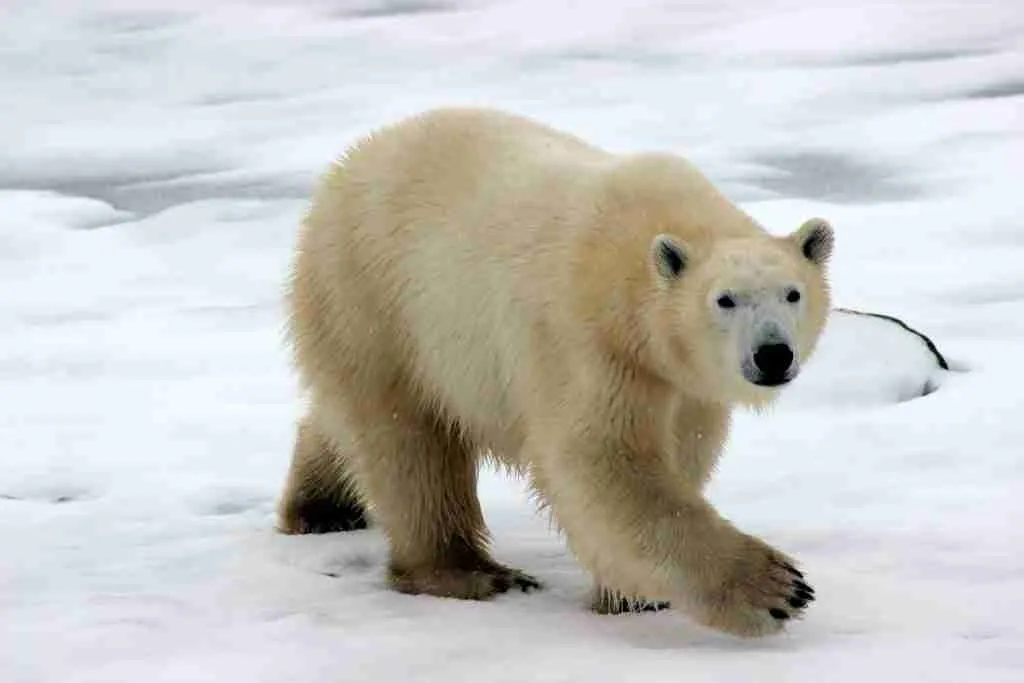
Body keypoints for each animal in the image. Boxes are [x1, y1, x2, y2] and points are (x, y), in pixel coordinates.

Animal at [276, 106, 833, 638]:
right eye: (725, 300)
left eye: (792, 293)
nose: (773, 354)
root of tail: (347, 165)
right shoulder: (589, 343)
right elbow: (600, 461)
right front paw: (776, 589)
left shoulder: (683, 383)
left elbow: (683, 450)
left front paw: (630, 593)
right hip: (374, 298)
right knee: (408, 445)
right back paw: (469, 572)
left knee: (348, 421)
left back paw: (323, 507)